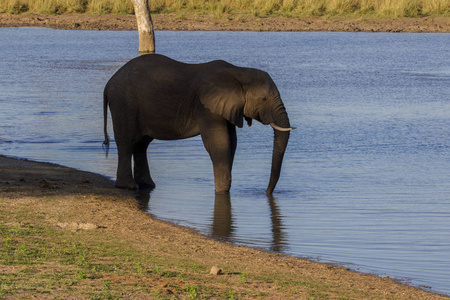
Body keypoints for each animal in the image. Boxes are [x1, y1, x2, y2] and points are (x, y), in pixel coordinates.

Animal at [105, 54, 296, 195]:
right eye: (263, 99)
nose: (266, 192)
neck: (238, 71)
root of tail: (109, 82)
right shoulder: (206, 108)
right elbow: (219, 143)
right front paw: (222, 192)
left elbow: (232, 143)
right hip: (123, 103)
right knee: (126, 141)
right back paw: (129, 186)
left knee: (141, 144)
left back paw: (148, 185)